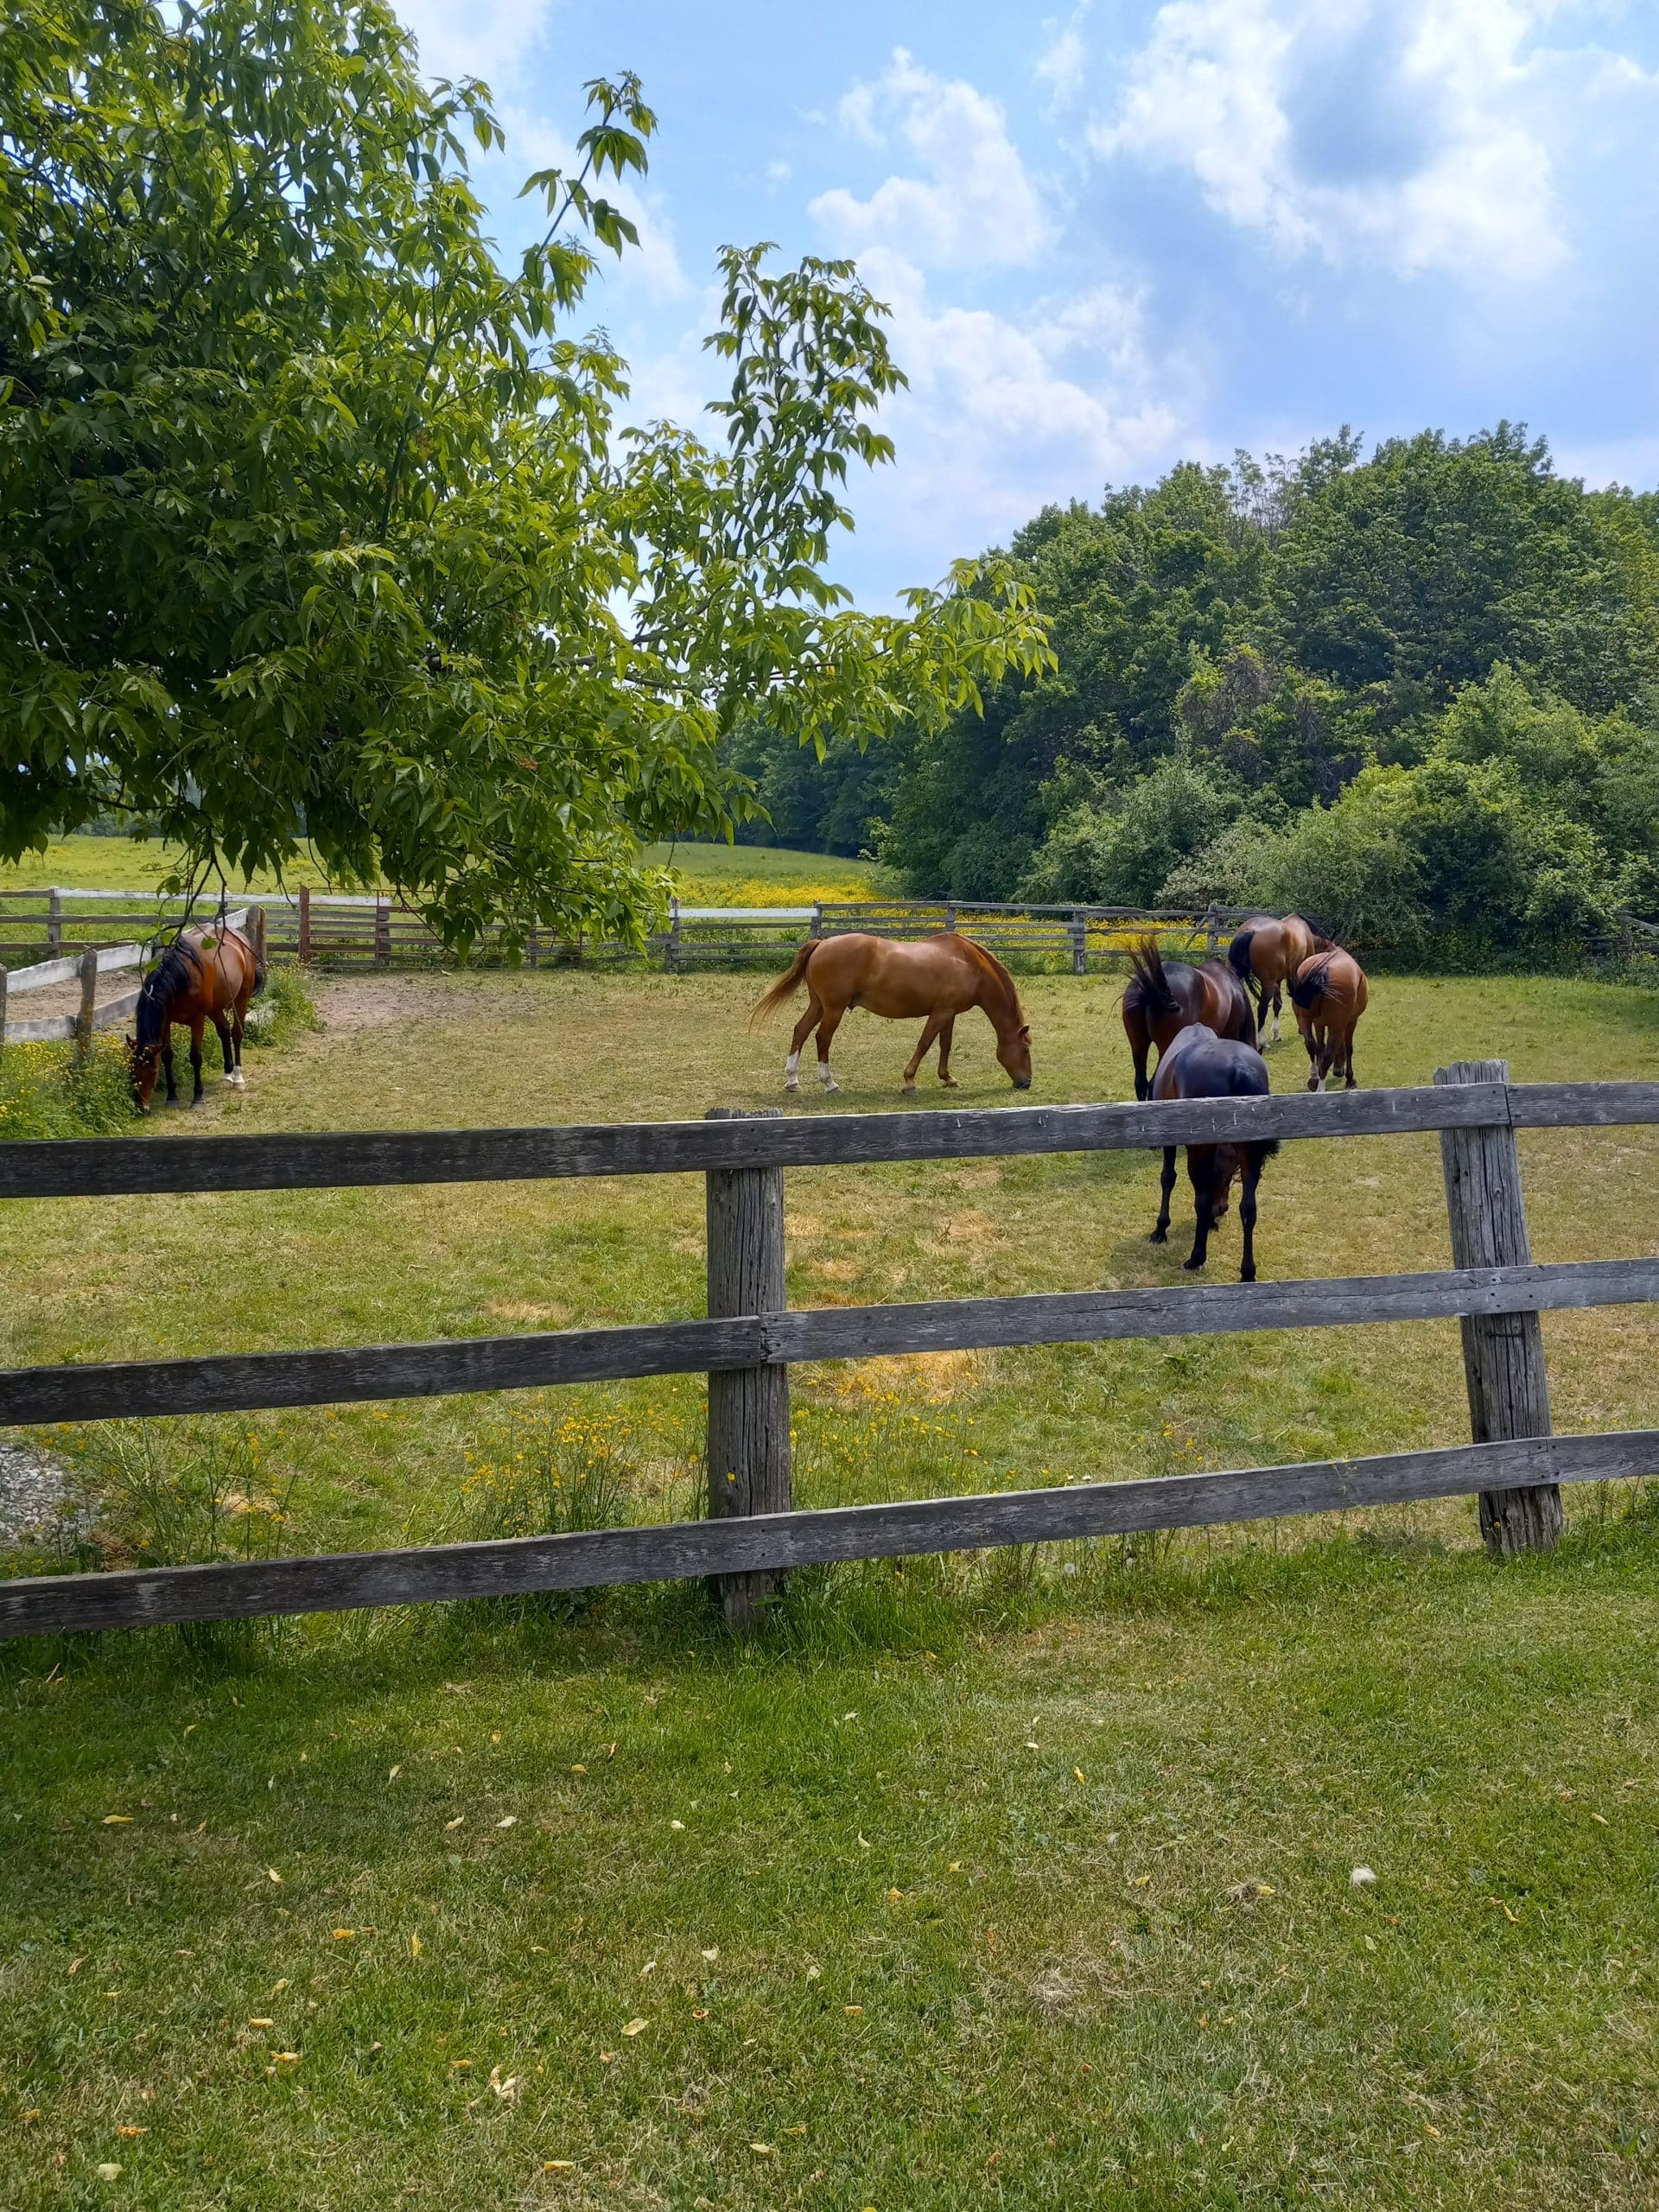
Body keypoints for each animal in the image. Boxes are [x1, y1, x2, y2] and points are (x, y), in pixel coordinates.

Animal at [128, 921, 264, 1113]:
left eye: (153, 1072)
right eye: (132, 1070)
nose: (141, 1107)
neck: (180, 976)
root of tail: (241, 939)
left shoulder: (197, 1021)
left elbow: (195, 1058)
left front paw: (198, 1097)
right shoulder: (166, 1022)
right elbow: (167, 1056)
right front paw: (172, 1096)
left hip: (241, 998)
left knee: (236, 1033)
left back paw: (237, 1077)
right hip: (215, 1008)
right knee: (224, 1031)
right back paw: (227, 1074)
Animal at [752, 932, 1032, 1095]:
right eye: (1026, 1049)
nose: (1026, 1082)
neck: (968, 963)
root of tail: (821, 944)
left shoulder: (949, 1013)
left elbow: (945, 1044)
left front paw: (947, 1078)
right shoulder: (940, 1013)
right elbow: (925, 1043)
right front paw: (909, 1082)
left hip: (818, 1005)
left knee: (800, 1031)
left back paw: (792, 1081)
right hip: (833, 1008)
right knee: (823, 1038)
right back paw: (829, 1083)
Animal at [1148, 1022, 1279, 1281]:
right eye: (1226, 1178)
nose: (1221, 1208)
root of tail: (1239, 1067)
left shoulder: (1169, 1140)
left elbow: (1168, 1178)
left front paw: (1161, 1228)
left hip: (1201, 1151)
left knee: (1202, 1199)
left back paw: (1196, 1257)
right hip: (1248, 1152)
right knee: (1248, 1208)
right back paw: (1247, 1271)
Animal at [1227, 914, 1331, 1045]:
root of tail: (1251, 930)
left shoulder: (1278, 980)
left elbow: (1278, 1004)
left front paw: (1276, 1034)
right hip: (1267, 983)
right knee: (1262, 1008)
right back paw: (1261, 1042)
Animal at [1290, 947, 1369, 1091]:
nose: (1338, 1072)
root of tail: (1322, 969)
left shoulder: (1318, 1023)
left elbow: (1320, 1047)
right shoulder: (1350, 1022)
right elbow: (1348, 1048)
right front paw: (1350, 1079)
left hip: (1304, 1019)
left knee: (1310, 1044)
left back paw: (1314, 1078)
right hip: (1336, 1027)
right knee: (1328, 1056)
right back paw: (1321, 1088)